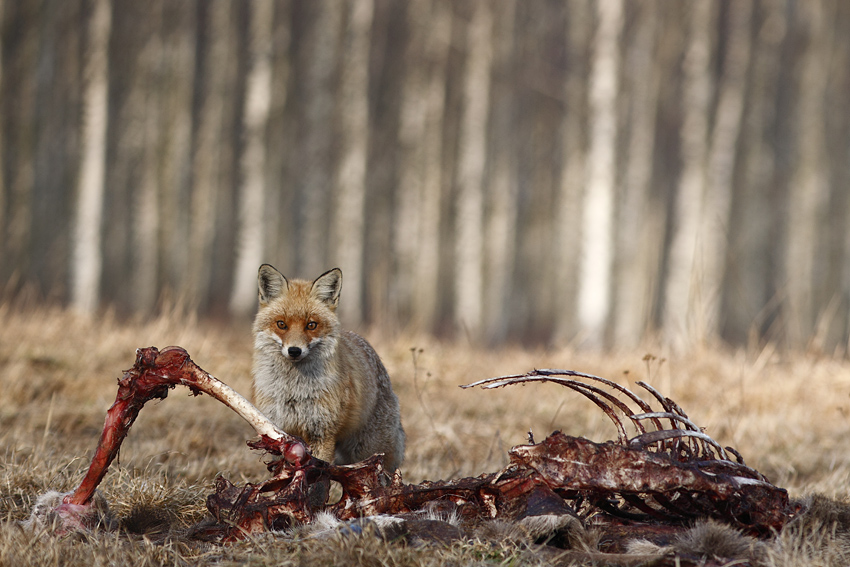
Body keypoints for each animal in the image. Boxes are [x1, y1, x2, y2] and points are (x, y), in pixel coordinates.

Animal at [248, 264, 404, 472]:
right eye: (281, 324)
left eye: (311, 325)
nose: (294, 351)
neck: (293, 390)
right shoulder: (277, 431)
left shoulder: (322, 433)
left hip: (368, 450)